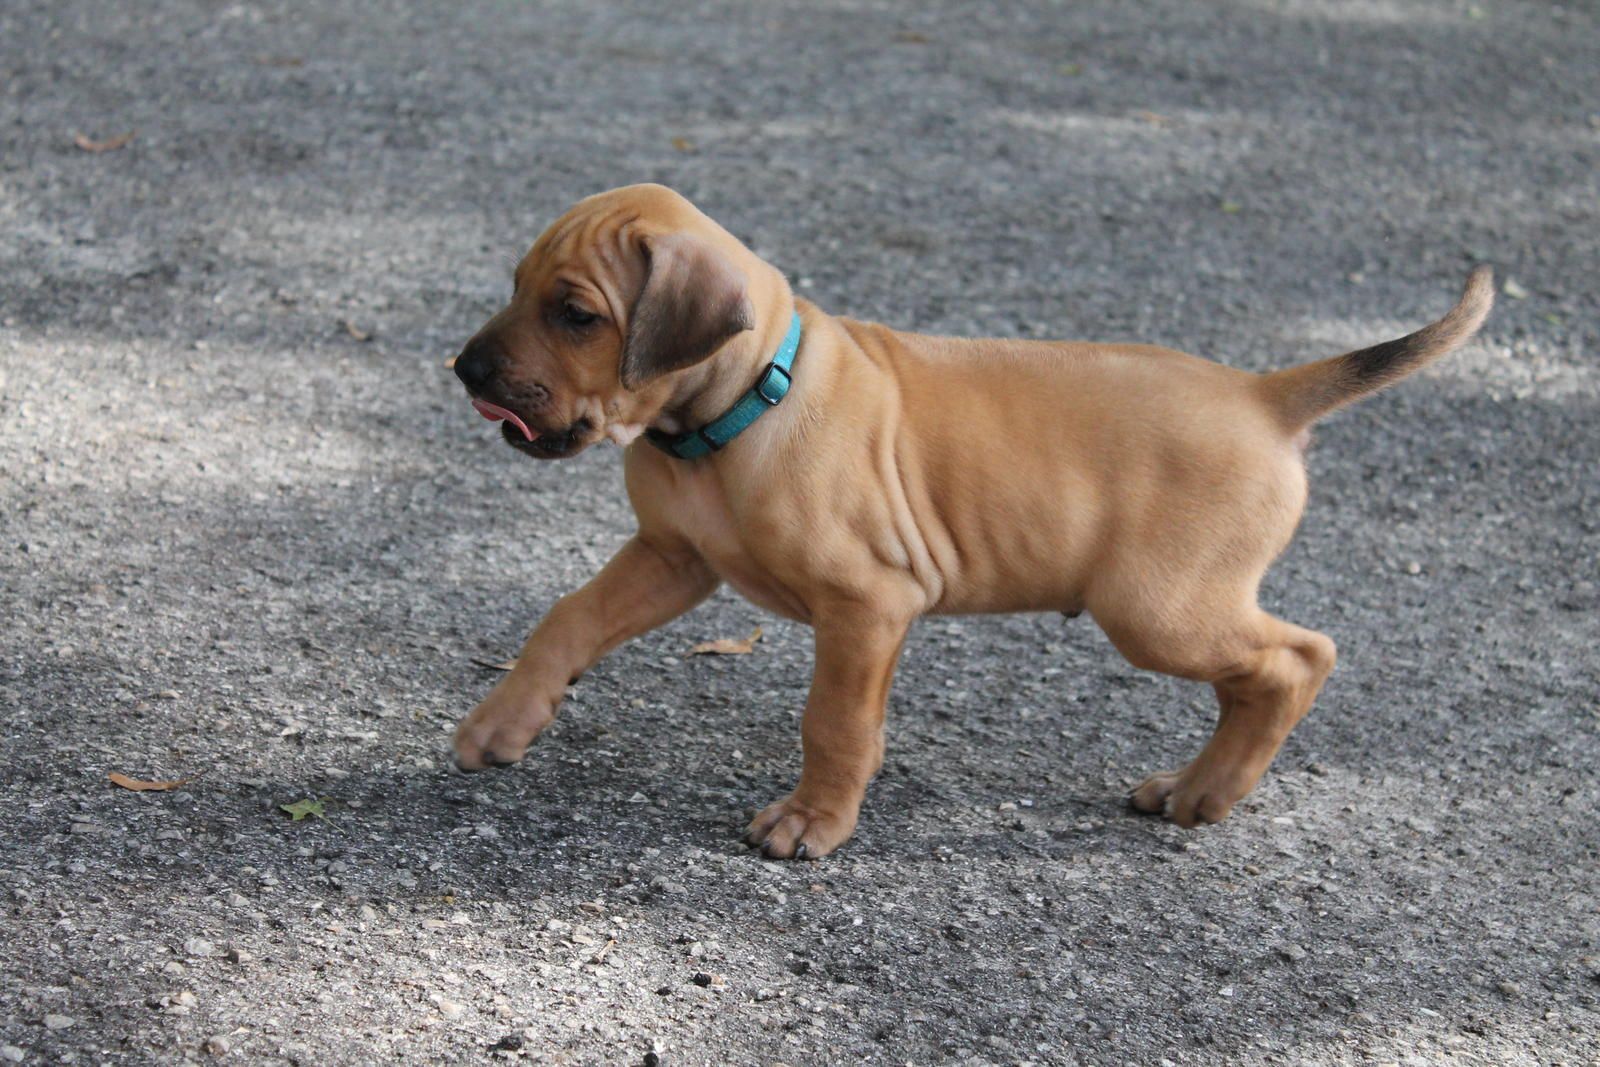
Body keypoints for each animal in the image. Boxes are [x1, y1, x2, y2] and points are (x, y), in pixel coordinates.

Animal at [449, 183, 1492, 859]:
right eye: (515, 285)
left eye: (576, 313)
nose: (465, 370)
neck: (731, 414)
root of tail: (1264, 395)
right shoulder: (673, 556)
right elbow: (567, 619)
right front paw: (504, 720)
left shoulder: (867, 604)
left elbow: (833, 721)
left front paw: (812, 821)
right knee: (1258, 674)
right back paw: (1191, 785)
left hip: (1157, 607)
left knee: (1298, 656)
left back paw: (1209, 790)